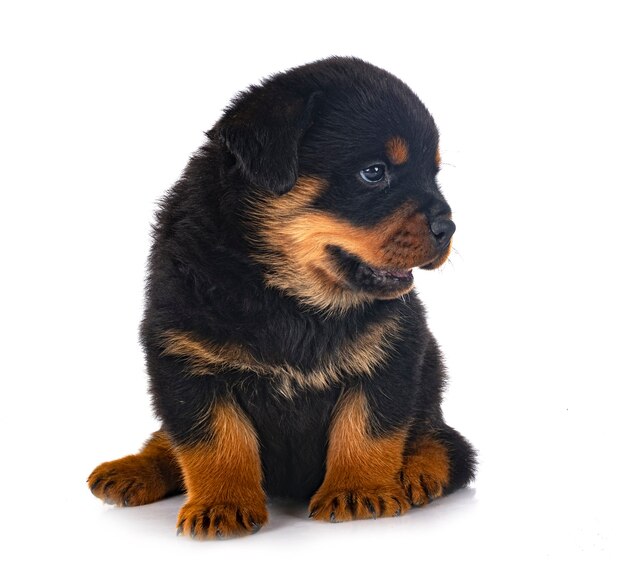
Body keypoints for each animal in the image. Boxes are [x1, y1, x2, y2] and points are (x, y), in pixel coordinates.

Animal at [89, 55, 472, 540]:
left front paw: (358, 491)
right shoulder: (182, 358)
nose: (448, 227)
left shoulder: (395, 350)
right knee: (167, 441)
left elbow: (367, 427)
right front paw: (222, 503)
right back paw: (132, 471)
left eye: (433, 174)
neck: (293, 299)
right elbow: (214, 439)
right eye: (374, 172)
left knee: (445, 442)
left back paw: (418, 471)